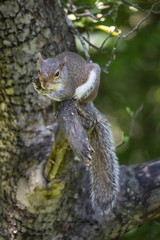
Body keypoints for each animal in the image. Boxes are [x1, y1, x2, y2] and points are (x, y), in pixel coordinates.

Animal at [33, 51, 119, 213]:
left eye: (57, 73)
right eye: (39, 71)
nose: (44, 84)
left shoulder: (68, 87)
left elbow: (62, 94)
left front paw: (44, 91)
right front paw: (36, 84)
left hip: (91, 84)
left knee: (79, 98)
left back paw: (76, 100)